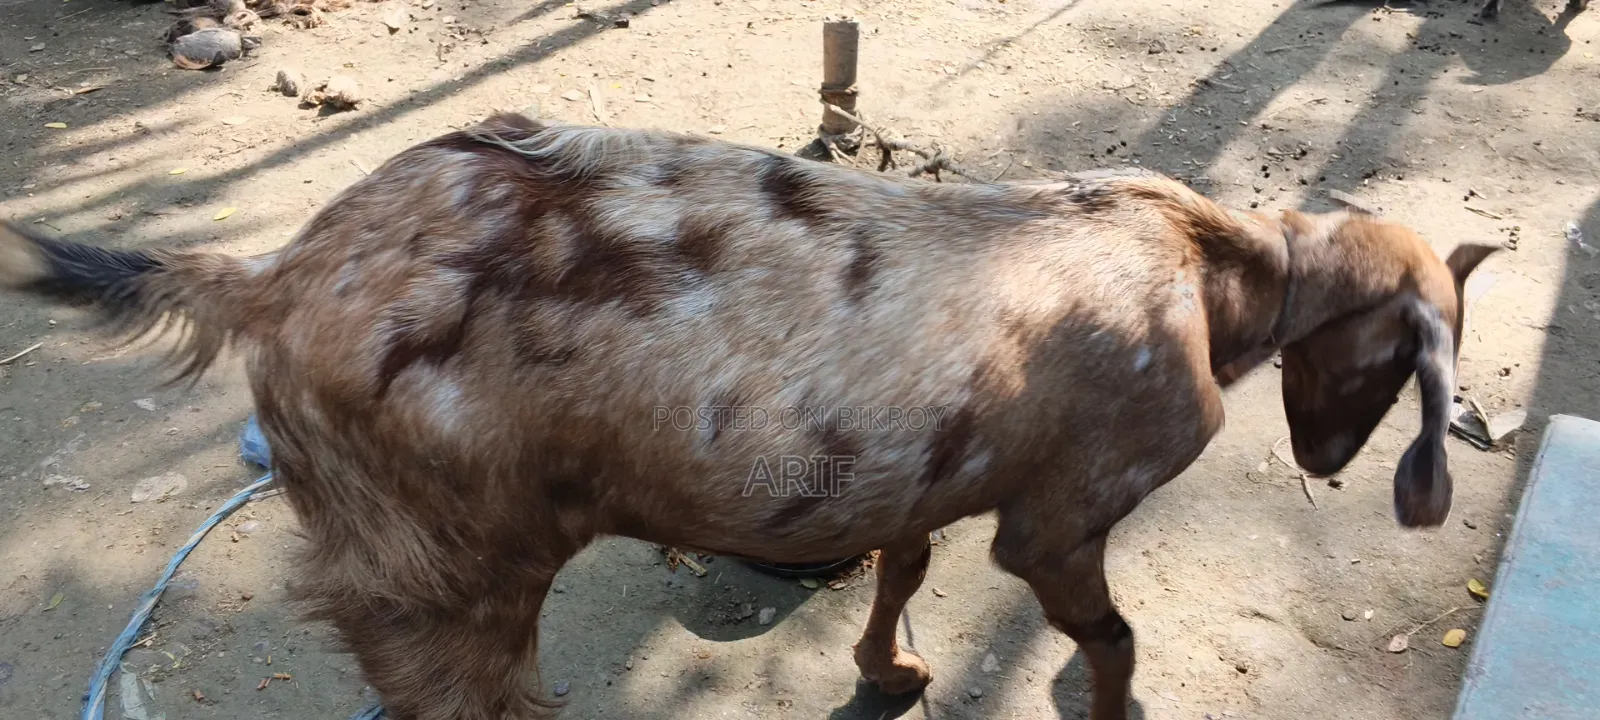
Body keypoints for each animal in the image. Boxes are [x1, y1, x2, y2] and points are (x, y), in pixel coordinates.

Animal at [0, 113, 1495, 720]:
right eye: (1393, 365)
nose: (1325, 461)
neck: (1215, 276)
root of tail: (268, 277)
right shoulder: (1063, 516)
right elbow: (1113, 638)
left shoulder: (924, 475)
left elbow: (901, 562)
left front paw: (888, 671)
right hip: (440, 567)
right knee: (461, 694)